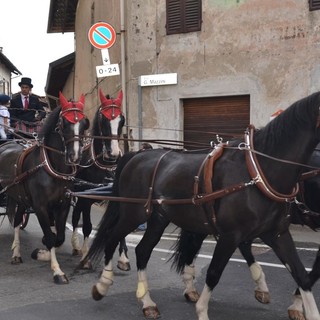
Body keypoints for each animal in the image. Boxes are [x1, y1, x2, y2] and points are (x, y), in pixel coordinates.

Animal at [1, 92, 89, 282]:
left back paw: (16, 254)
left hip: (20, 198)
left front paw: (43, 254)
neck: (50, 167)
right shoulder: (40, 206)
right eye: (64, 123)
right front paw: (57, 271)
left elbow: (59, 237)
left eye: (84, 122)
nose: (75, 156)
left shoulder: (62, 205)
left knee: (17, 221)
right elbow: (50, 238)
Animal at [70, 89, 129, 270]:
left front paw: (123, 258)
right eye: (103, 119)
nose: (114, 153)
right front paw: (86, 257)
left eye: (121, 119)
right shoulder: (86, 199)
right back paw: (76, 246)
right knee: (75, 218)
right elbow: (87, 227)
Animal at [85, 91, 320, 318]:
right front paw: (201, 309)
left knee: (143, 250)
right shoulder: (230, 235)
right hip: (134, 214)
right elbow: (214, 273)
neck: (259, 171)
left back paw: (147, 302)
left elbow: (302, 275)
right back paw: (103, 285)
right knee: (112, 237)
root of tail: (135, 156)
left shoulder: (277, 234)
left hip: (158, 218)